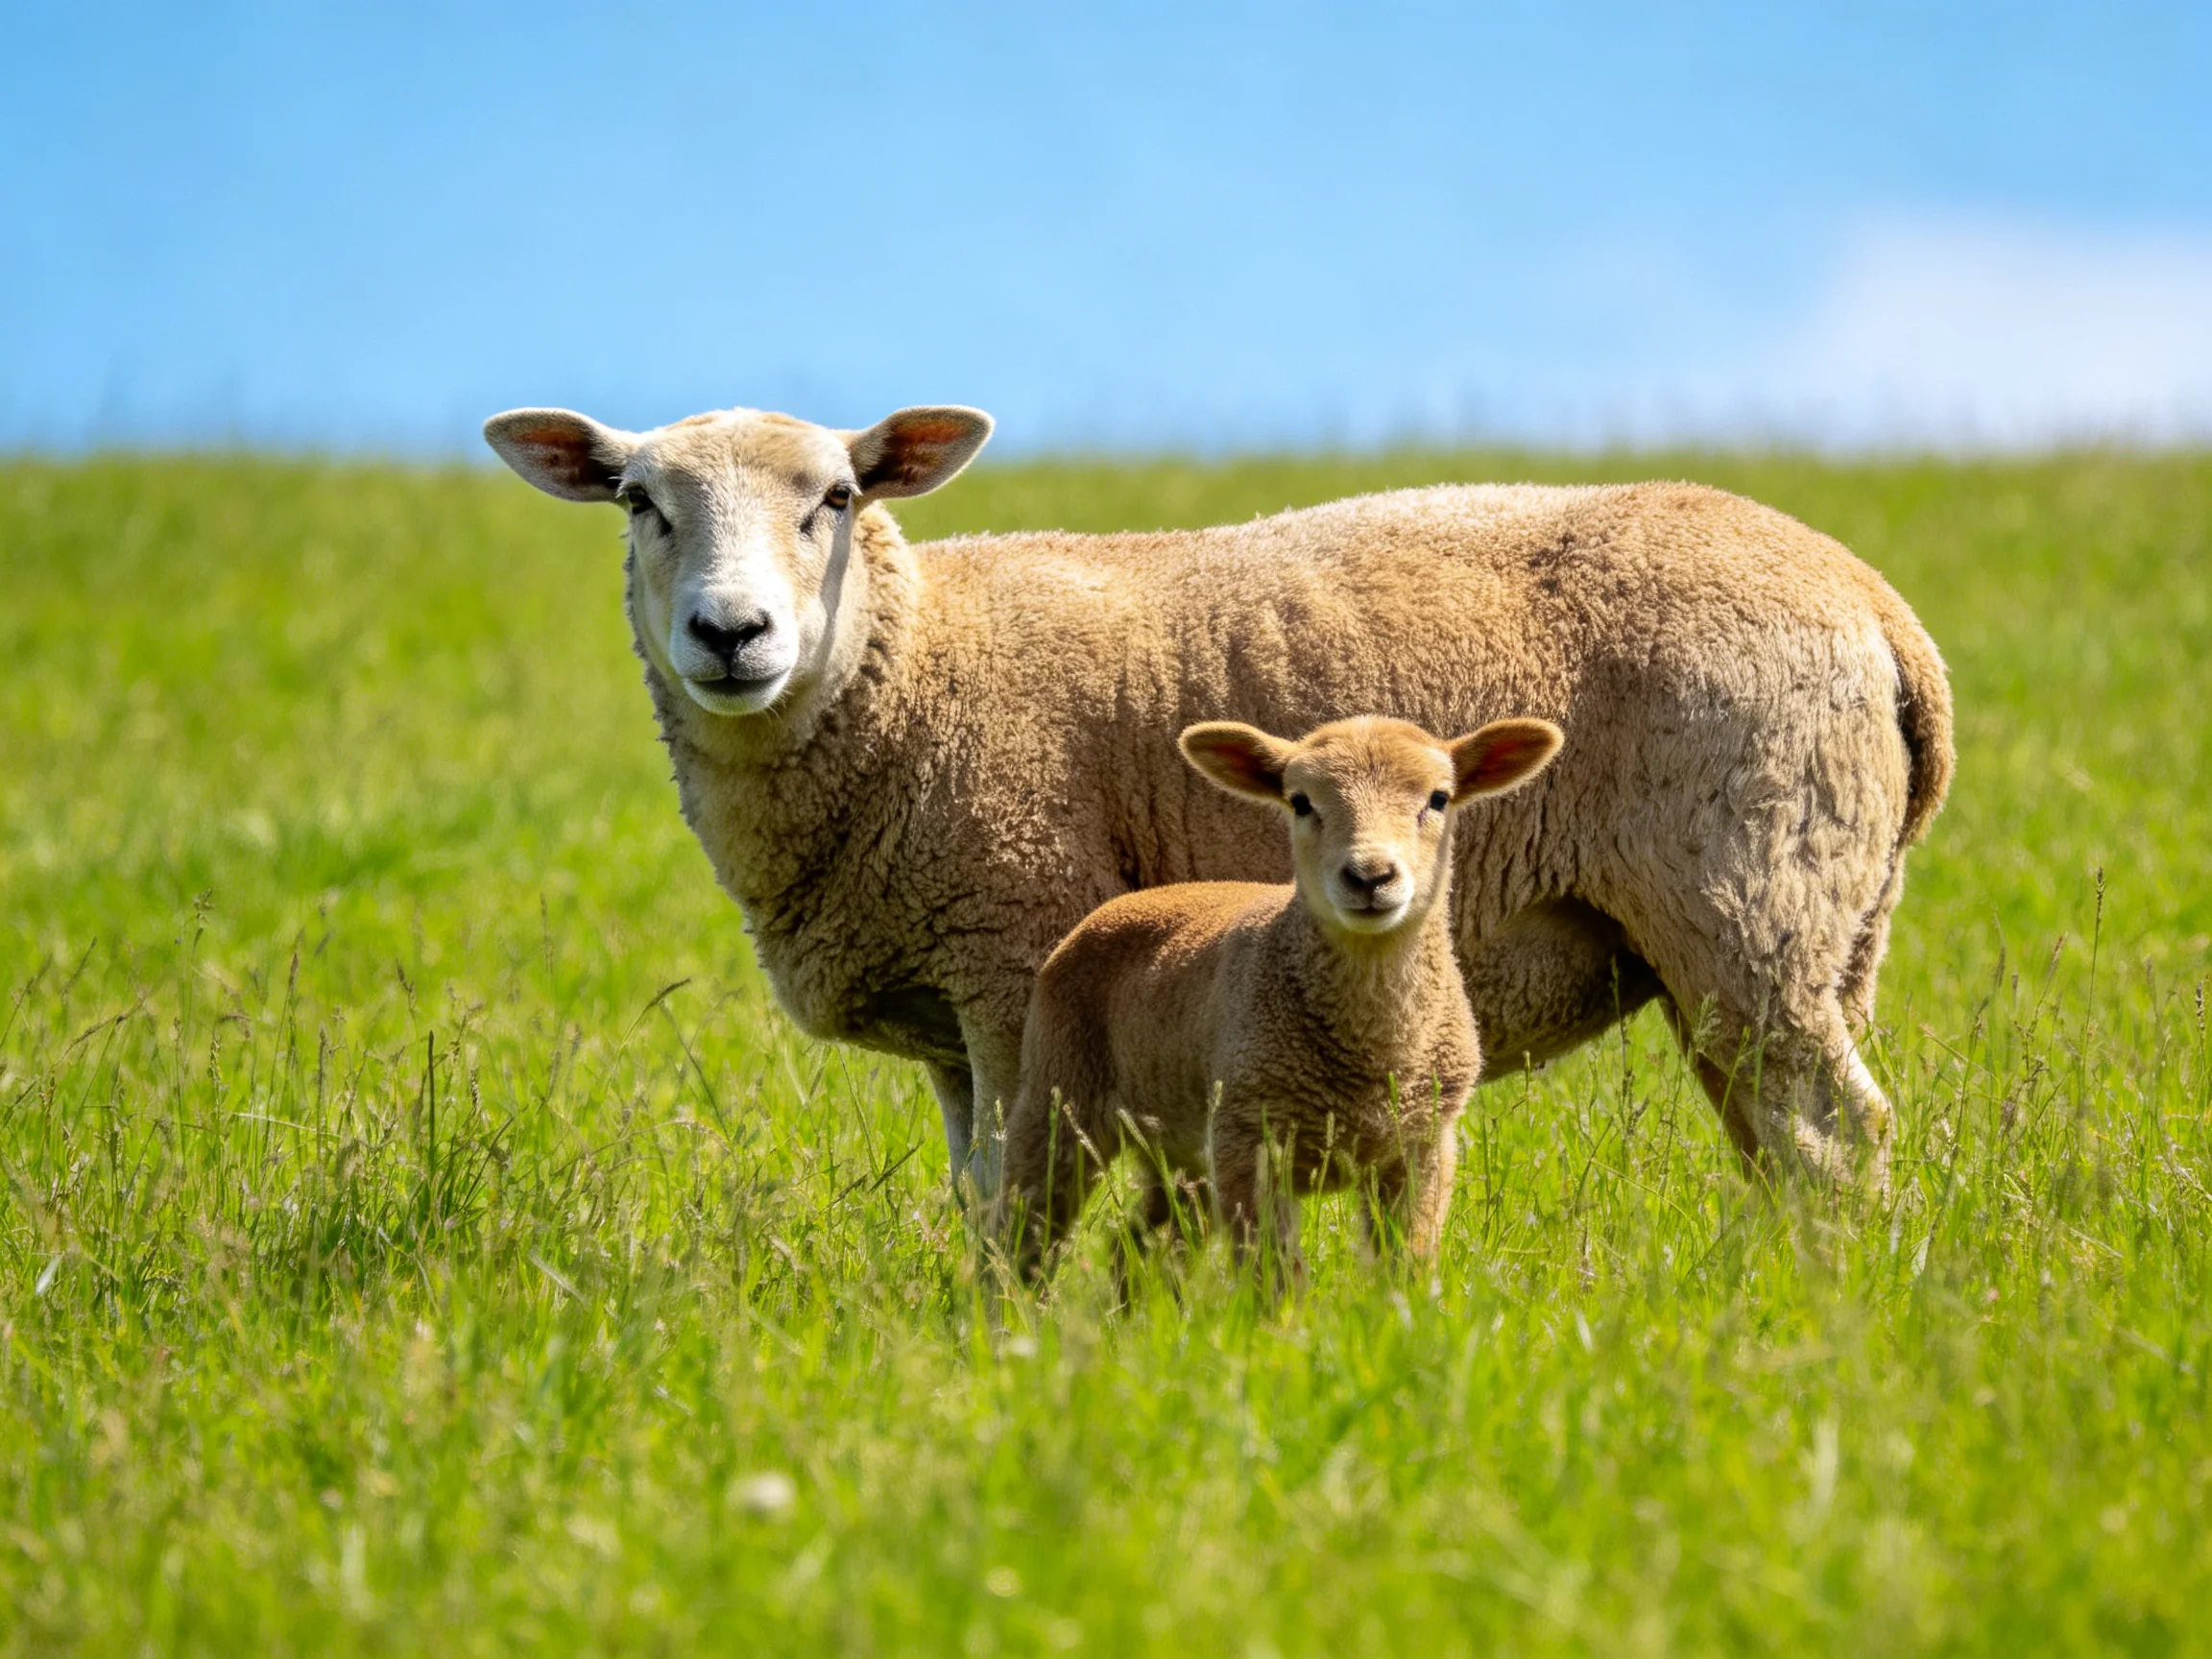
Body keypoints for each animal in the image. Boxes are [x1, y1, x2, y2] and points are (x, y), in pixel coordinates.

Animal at [481, 401, 1953, 1198]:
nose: (731, 634)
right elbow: (973, 1184)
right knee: (1785, 1139)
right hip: (1813, 919)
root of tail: (1881, 610)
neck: (915, 667)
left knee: (1836, 1136)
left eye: (837, 497)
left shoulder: (1014, 946)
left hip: (1750, 892)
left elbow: (1023, 1175)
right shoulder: (949, 1009)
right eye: (637, 502)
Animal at [994, 714, 1564, 1286]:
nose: (1370, 877)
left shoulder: (1423, 1147)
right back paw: (1007, 1302)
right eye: (1301, 802)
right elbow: (1274, 1276)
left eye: (1439, 798)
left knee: (1137, 1247)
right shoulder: (1250, 1142)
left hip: (1181, 1149)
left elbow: (1404, 1265)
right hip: (1060, 1095)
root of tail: (1133, 900)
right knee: (1021, 1232)